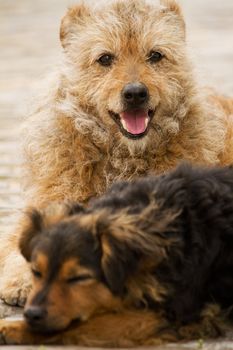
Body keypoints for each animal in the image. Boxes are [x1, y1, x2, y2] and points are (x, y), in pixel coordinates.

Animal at [0, 163, 233, 344]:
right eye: (36, 273)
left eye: (79, 278)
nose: (32, 314)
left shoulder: (180, 312)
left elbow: (83, 324)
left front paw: (11, 328)